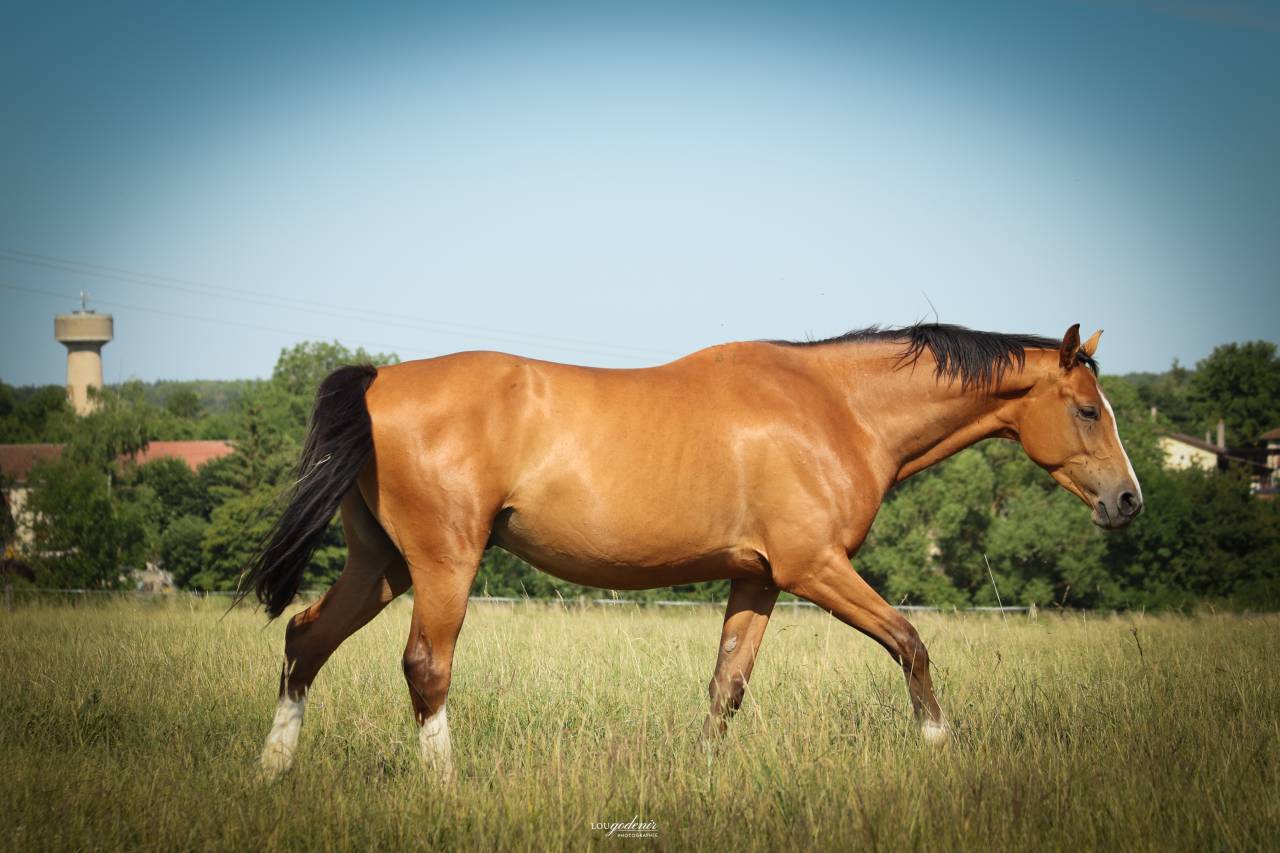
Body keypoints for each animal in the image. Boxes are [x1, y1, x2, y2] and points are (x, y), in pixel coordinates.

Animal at [249, 322, 1142, 779]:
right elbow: (910, 641)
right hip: (443, 564)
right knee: (426, 668)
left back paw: (273, 767)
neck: (834, 406)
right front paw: (938, 742)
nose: (1128, 500)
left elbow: (727, 686)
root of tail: (376, 382)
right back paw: (445, 787)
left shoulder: (760, 580)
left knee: (304, 640)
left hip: (382, 565)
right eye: (1087, 408)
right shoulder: (817, 568)